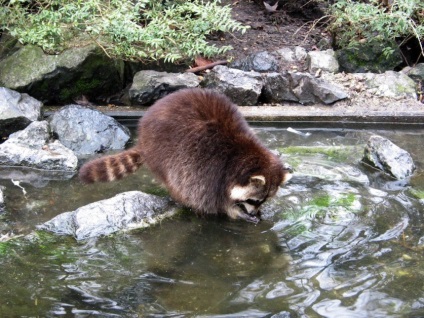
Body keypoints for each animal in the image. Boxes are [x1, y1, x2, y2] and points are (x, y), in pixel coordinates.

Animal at [79, 88, 292, 222]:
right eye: (253, 200)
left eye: (262, 201)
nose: (255, 212)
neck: (240, 155)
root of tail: (143, 136)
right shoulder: (210, 167)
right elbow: (208, 199)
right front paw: (233, 211)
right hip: (162, 150)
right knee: (174, 179)